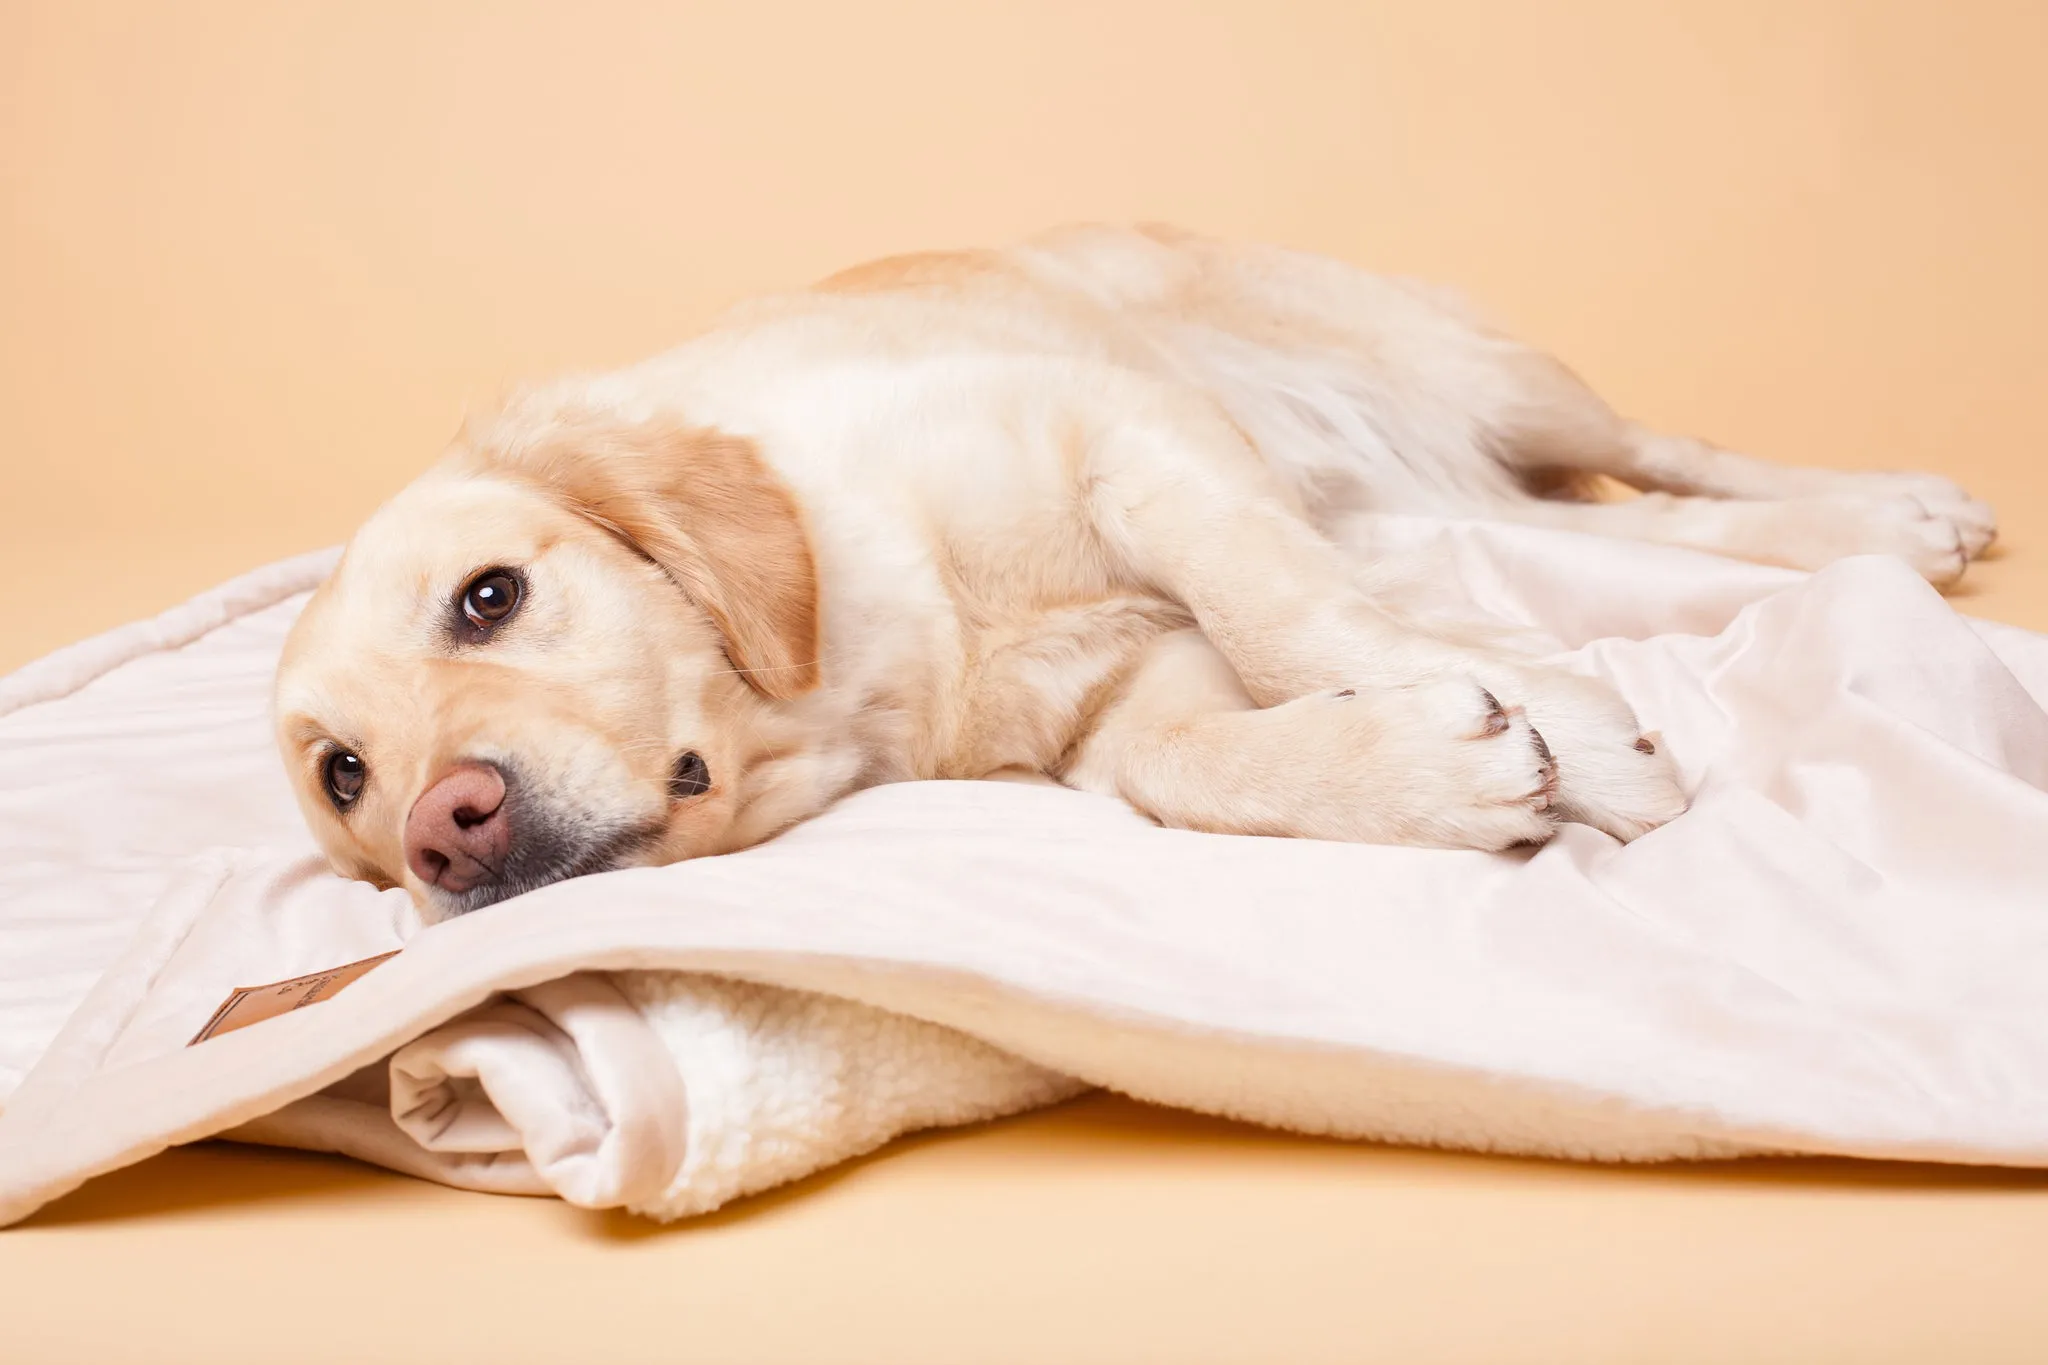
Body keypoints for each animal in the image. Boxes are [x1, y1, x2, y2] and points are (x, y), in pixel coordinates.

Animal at [272, 227, 1998, 916]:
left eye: (490, 596)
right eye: (345, 777)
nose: (443, 829)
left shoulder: (1126, 439)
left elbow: (1284, 620)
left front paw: (1580, 741)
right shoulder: (1126, 695)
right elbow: (1200, 765)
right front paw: (1431, 768)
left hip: (1502, 380)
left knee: (1671, 450)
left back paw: (1903, 511)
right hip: (1415, 494)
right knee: (1627, 533)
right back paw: (1866, 537)